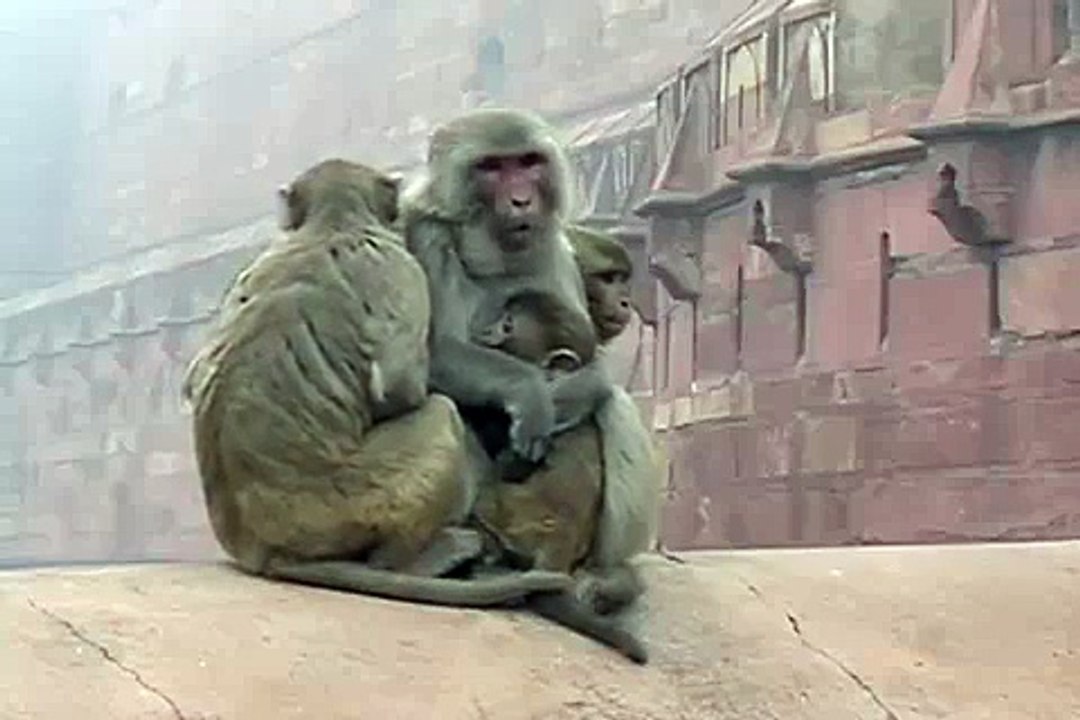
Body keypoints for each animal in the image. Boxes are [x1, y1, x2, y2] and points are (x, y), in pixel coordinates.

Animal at [181, 158, 576, 608]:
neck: (333, 222)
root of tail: (262, 548)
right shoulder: (403, 269)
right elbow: (401, 384)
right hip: (348, 508)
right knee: (440, 414)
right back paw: (413, 560)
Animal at [401, 108, 659, 662]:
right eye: (493, 168)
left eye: (527, 163)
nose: (521, 200)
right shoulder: (424, 234)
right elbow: (428, 358)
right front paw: (531, 396)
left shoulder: (554, 251)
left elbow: (590, 366)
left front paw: (552, 401)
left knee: (613, 405)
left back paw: (609, 575)